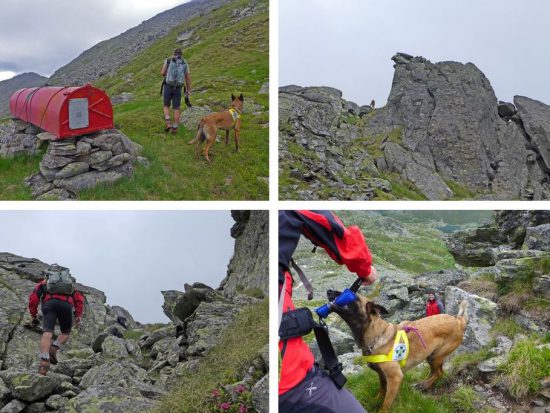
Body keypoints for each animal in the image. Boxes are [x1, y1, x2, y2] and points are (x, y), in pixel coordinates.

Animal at [328, 290, 470, 412]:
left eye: (350, 294)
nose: (329, 291)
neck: (376, 336)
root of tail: (458, 321)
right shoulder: (381, 375)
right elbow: (382, 390)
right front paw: (376, 400)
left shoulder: (395, 378)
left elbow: (386, 404)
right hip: (431, 356)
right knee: (436, 372)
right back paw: (423, 384)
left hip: (436, 356)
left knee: (439, 372)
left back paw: (424, 385)